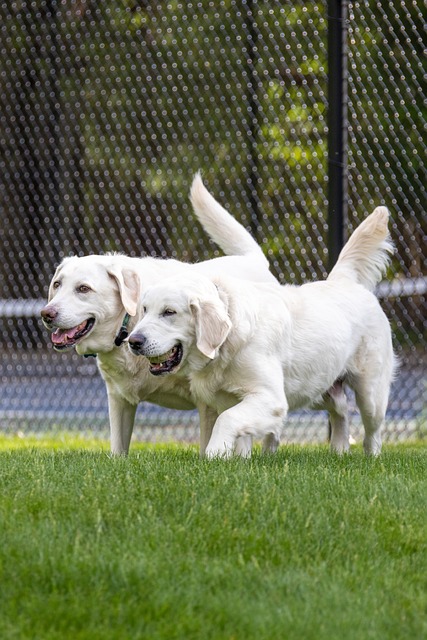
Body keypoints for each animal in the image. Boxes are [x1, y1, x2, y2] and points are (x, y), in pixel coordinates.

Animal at [41, 175, 278, 456]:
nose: (46, 314)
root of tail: (254, 260)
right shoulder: (118, 399)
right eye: (57, 285)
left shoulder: (208, 401)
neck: (128, 326)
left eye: (83, 289)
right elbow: (118, 449)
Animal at [128, 205, 398, 456]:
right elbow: (237, 434)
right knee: (340, 409)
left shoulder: (271, 399)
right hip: (317, 386)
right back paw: (339, 450)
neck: (228, 343)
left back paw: (370, 457)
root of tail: (343, 281)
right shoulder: (228, 399)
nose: (133, 341)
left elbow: (227, 420)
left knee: (372, 432)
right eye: (144, 309)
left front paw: (214, 454)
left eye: (169, 312)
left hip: (370, 393)